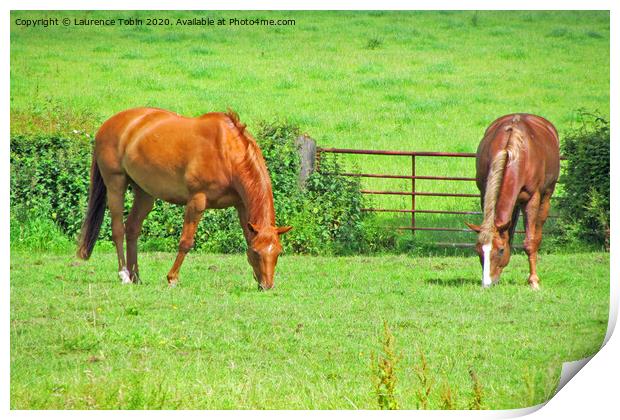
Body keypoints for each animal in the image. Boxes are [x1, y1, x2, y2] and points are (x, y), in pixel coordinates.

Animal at [77, 107, 290, 288]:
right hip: (115, 184)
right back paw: (124, 274)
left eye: (278, 252)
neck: (225, 150)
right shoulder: (197, 201)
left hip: (145, 193)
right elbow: (186, 242)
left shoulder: (241, 206)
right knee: (118, 230)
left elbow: (247, 236)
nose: (267, 286)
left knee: (132, 229)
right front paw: (172, 278)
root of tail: (107, 125)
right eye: (256, 252)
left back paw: (135, 275)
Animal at [464, 113, 560, 288]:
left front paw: (533, 281)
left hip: (546, 196)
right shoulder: (484, 193)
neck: (513, 152)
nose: (487, 283)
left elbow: (529, 242)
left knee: (538, 230)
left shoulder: (532, 198)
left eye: (500, 250)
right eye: (478, 250)